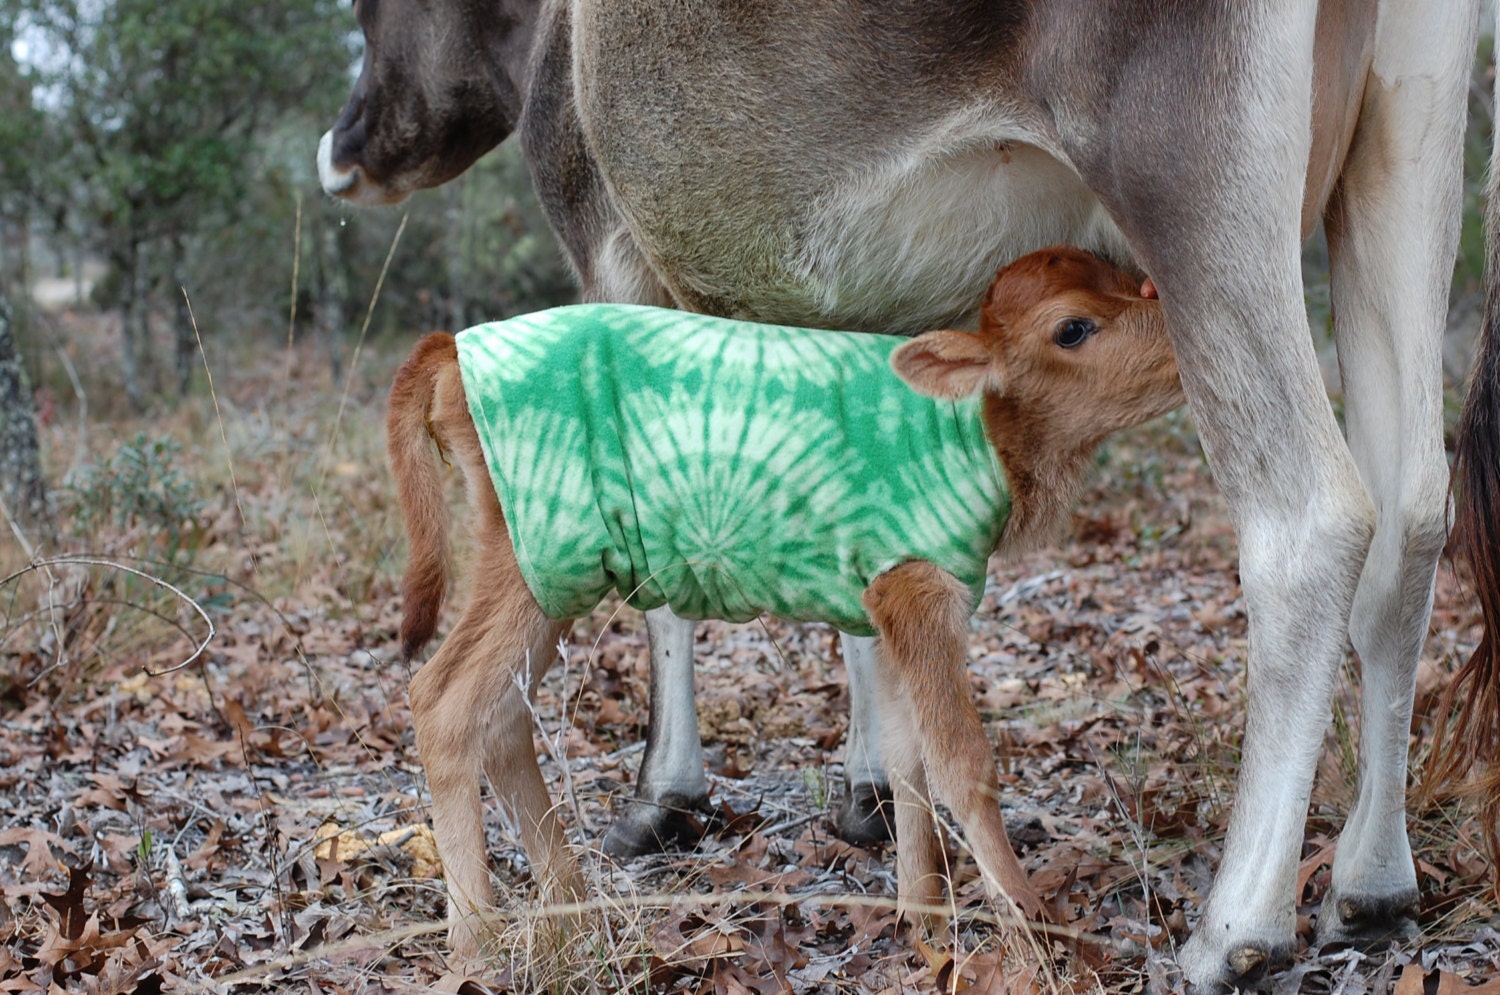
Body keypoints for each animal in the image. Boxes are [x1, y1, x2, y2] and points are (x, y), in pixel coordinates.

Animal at [319, 2, 1495, 989]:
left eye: (371, 11)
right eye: (1075, 320)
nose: (342, 146)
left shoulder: (611, 241)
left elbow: (705, 606)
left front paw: (674, 793)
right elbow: (882, 635)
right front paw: (892, 827)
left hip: (1189, 160)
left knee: (1313, 515)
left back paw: (1234, 930)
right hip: (1404, 137)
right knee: (1413, 506)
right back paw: (1371, 884)